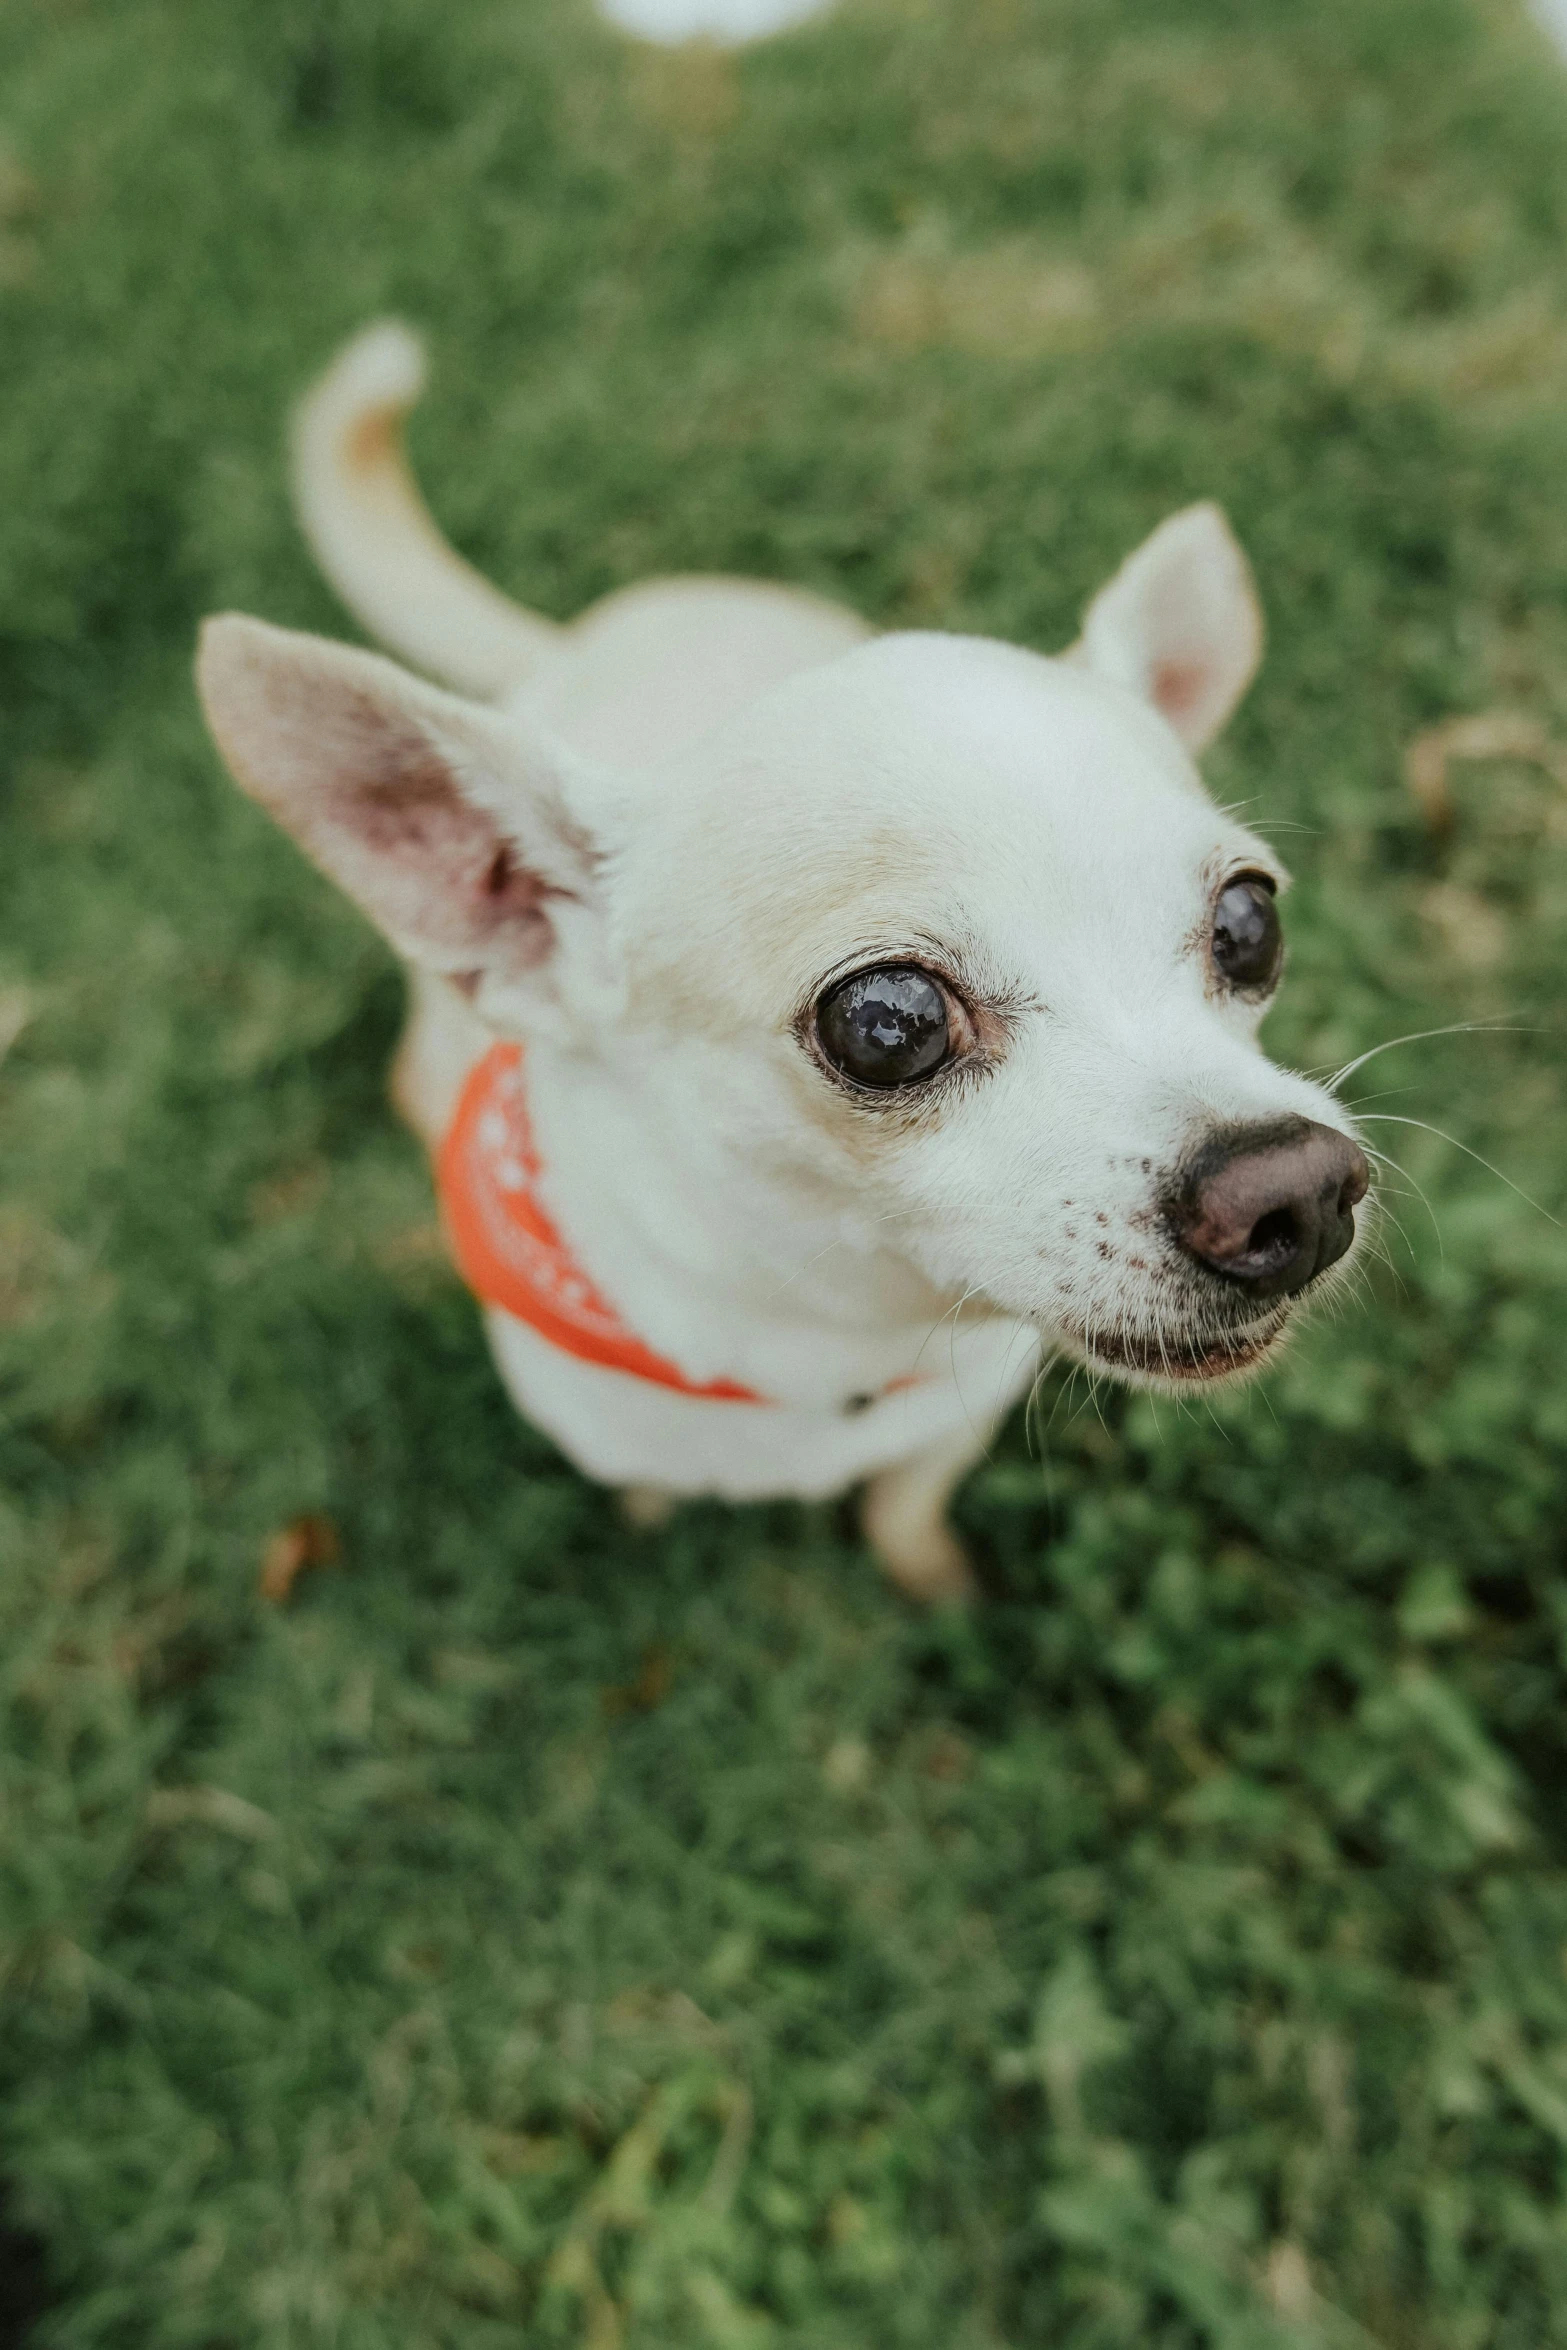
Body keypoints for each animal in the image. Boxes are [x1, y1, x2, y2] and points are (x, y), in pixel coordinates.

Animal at [199, 326, 1372, 1597]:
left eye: (1249, 926)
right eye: (886, 1023)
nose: (1298, 1187)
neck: (829, 1354)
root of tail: (581, 639)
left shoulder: (954, 1417)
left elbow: (904, 1503)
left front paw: (931, 1580)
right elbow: (651, 1486)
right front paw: (656, 1515)